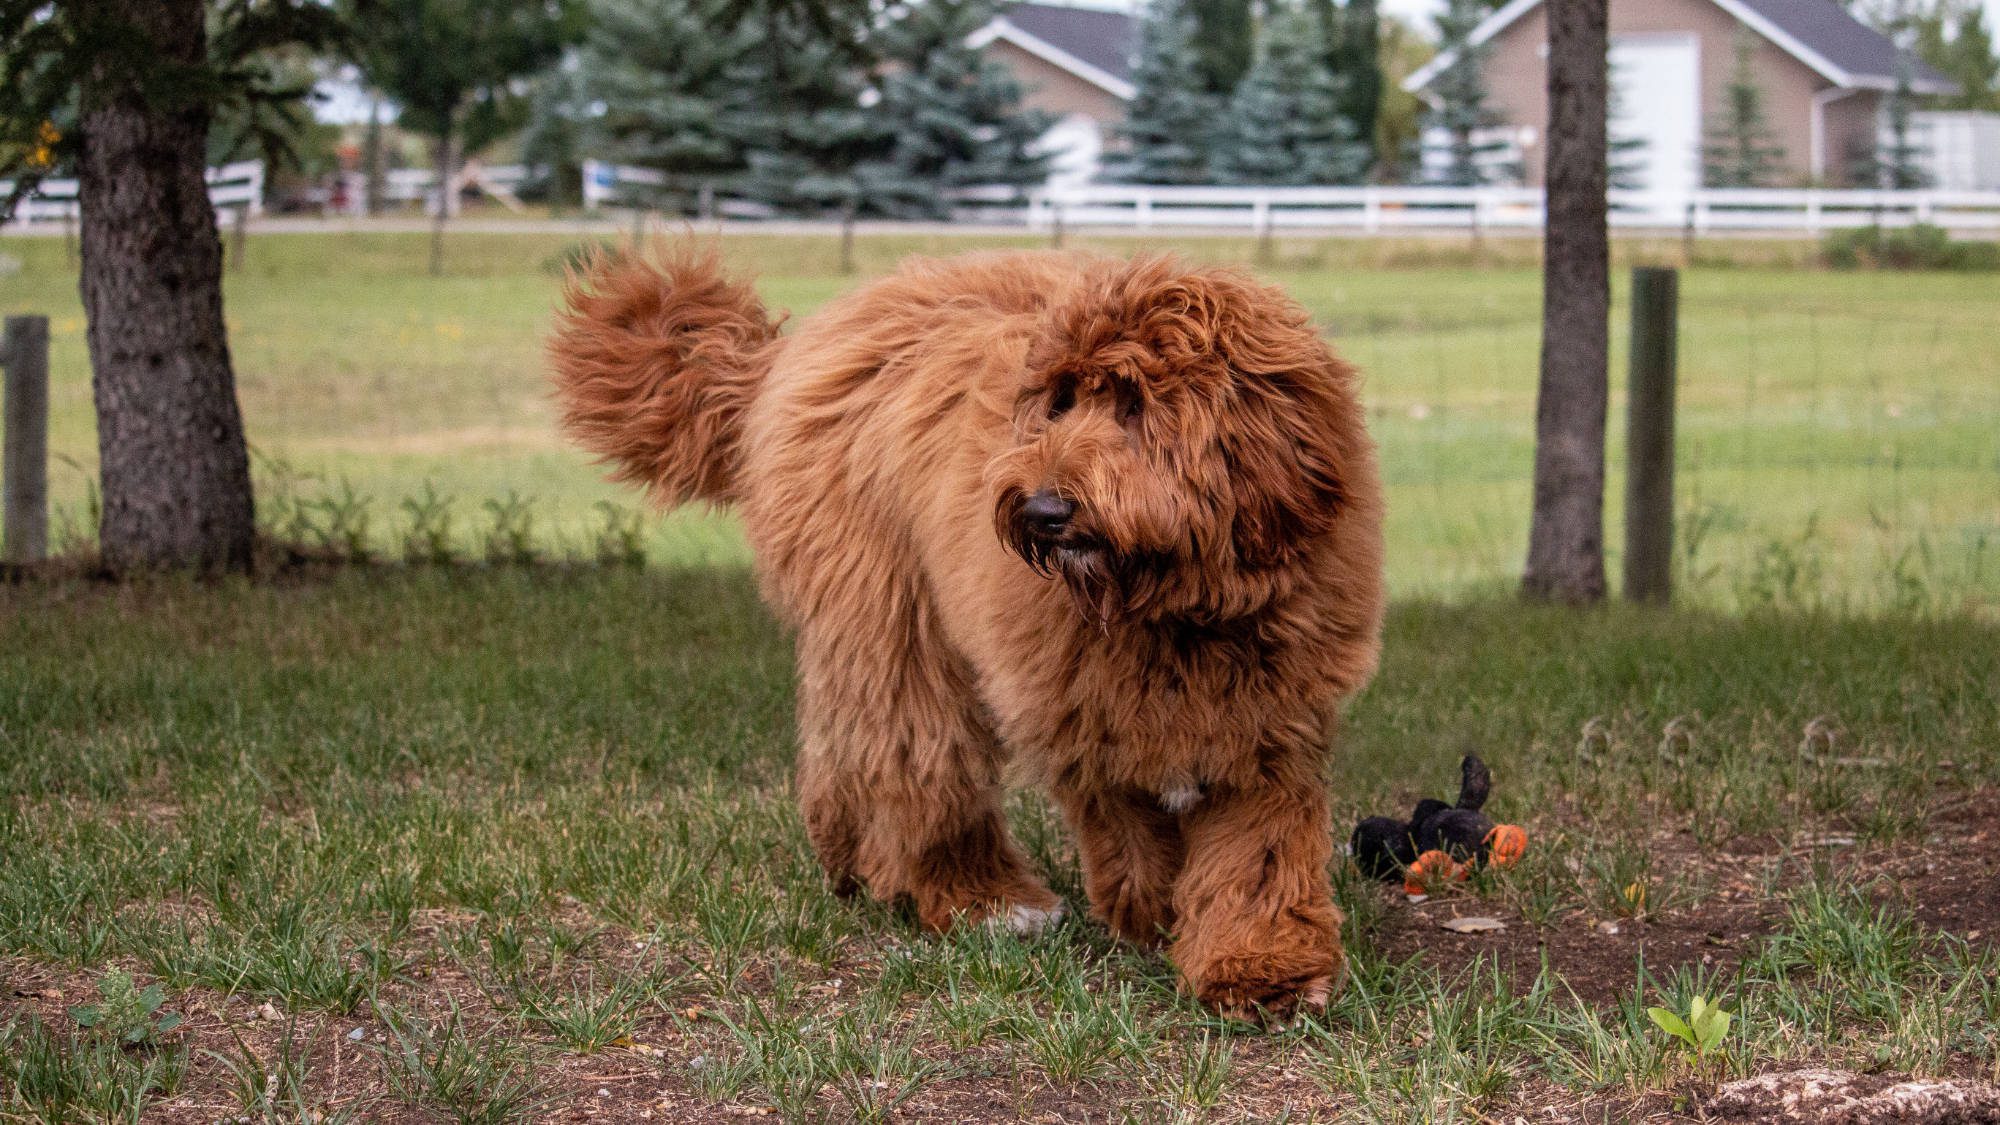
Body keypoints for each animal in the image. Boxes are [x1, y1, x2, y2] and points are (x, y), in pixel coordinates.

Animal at [556, 243, 1384, 1016]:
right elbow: (1125, 814)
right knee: (916, 756)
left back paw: (855, 859)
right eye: (1060, 401)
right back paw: (981, 896)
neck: (1169, 603)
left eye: (1135, 404)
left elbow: (1258, 847)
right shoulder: (1078, 701)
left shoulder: (1270, 718)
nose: (1043, 509)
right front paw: (1151, 908)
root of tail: (796, 351)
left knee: (845, 743)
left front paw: (1260, 966)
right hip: (890, 610)